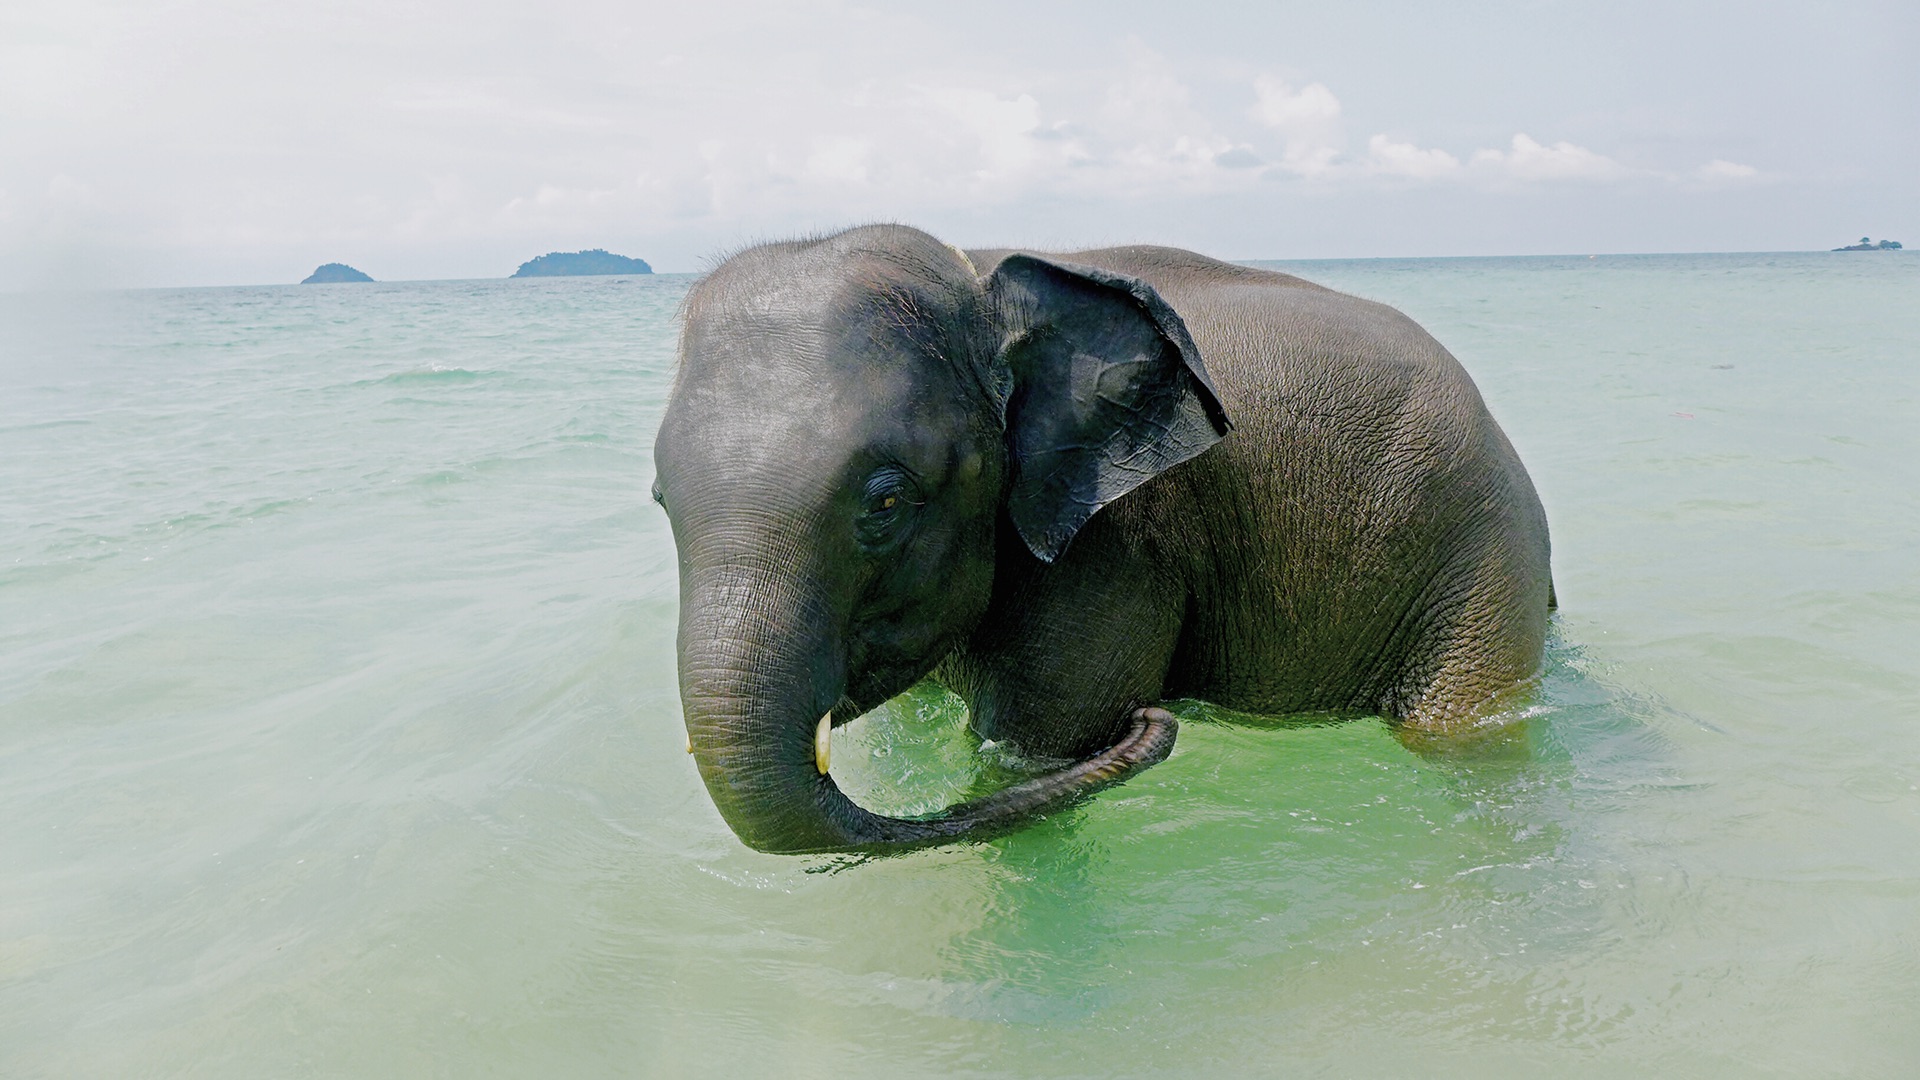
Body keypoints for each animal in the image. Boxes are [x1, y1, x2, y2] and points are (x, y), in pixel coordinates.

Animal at [652, 224, 1551, 849]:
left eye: (886, 501)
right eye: (660, 498)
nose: (1153, 718)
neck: (978, 275)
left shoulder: (1116, 550)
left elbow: (1031, 753)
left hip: (1482, 560)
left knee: (1453, 730)